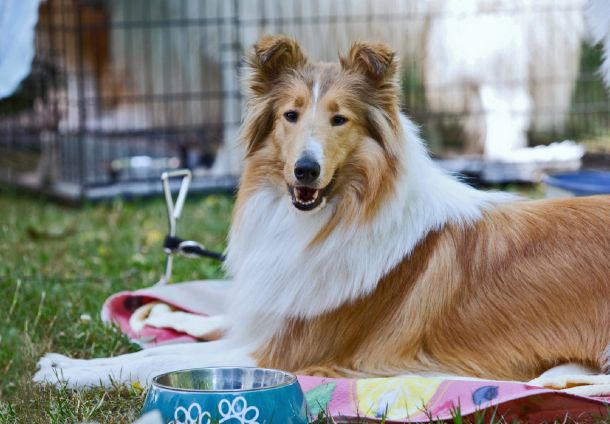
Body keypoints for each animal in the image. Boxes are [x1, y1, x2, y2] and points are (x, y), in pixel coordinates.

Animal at [35, 36, 610, 389]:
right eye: (290, 115)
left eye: (340, 120)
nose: (306, 171)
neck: (326, 217)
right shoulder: (264, 325)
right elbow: (169, 343)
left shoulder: (285, 354)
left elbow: (155, 360)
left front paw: (64, 372)